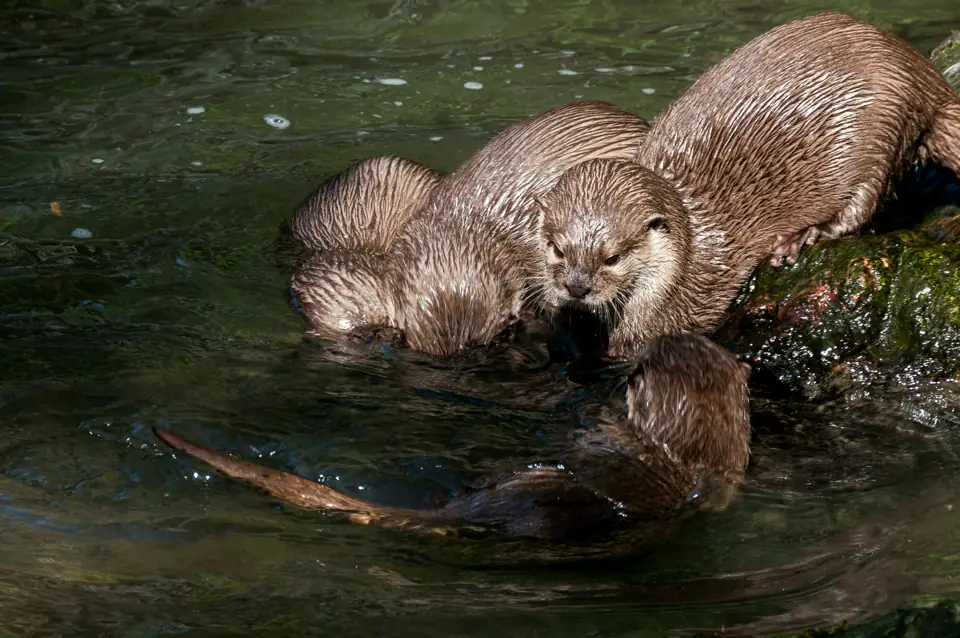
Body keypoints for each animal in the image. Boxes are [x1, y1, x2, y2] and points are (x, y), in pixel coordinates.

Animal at [536, 11, 960, 360]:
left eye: (613, 257)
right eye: (557, 249)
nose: (577, 288)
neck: (688, 258)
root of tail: (924, 77)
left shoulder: (675, 311)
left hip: (880, 130)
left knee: (864, 204)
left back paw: (802, 237)